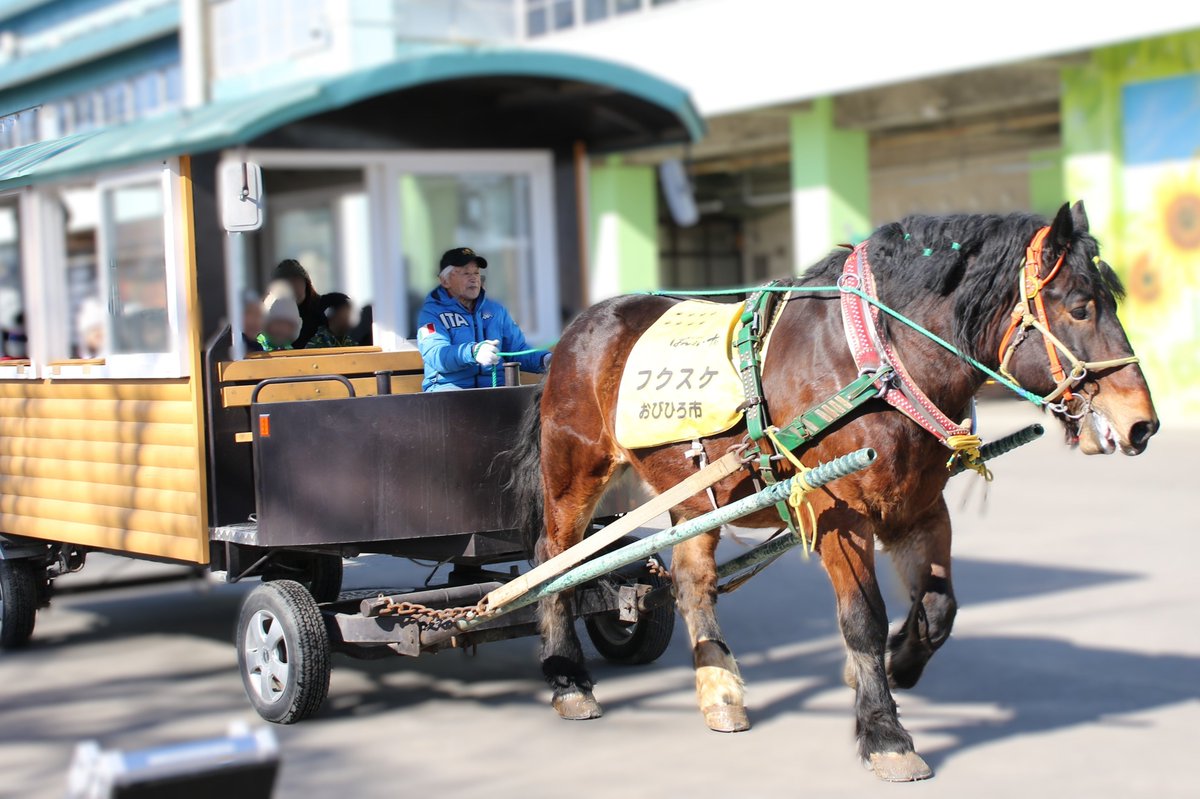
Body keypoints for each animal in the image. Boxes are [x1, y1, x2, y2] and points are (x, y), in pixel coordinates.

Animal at [503, 202, 1158, 781]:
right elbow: (863, 619)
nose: (1141, 424)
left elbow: (939, 608)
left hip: (689, 490)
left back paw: (719, 689)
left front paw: (902, 660)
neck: (880, 359)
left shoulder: (921, 506)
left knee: (692, 581)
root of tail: (576, 331)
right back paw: (568, 678)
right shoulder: (838, 512)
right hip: (575, 470)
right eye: (1080, 307)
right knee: (553, 563)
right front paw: (885, 733)